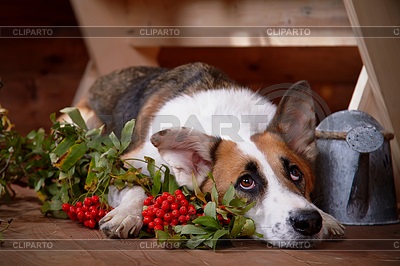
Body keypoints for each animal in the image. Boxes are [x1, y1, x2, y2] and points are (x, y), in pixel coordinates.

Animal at [71, 61, 344, 245]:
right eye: (246, 182)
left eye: (295, 173)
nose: (310, 222)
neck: (232, 124)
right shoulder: (119, 165)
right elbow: (136, 187)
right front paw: (126, 214)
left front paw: (326, 216)